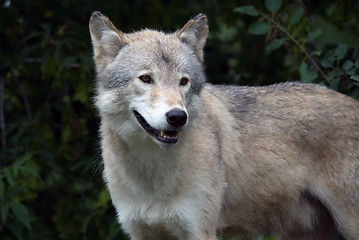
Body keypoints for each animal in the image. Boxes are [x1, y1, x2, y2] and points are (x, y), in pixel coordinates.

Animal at [89, 11, 359, 240]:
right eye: (146, 78)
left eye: (183, 82)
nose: (177, 116)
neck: (152, 173)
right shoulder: (141, 233)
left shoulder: (200, 231)